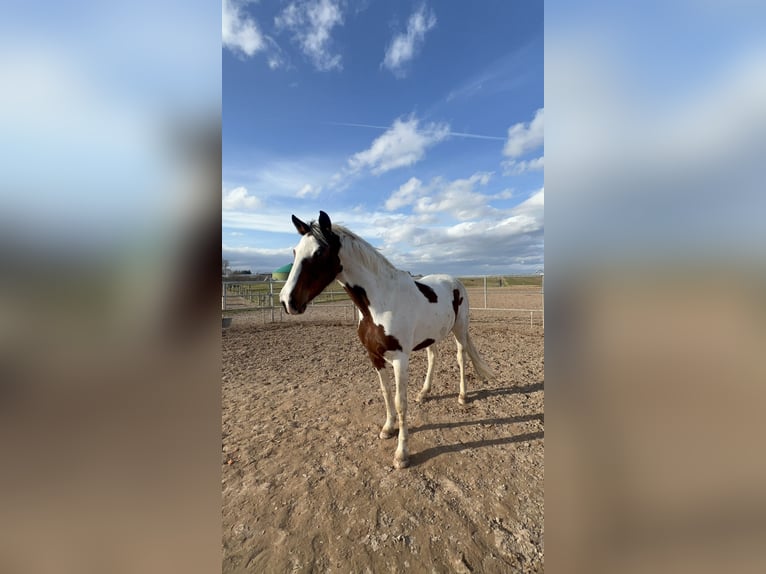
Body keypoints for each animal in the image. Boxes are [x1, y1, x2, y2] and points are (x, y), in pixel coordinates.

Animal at [279, 211, 494, 469]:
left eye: (319, 253)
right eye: (295, 252)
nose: (287, 301)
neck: (380, 303)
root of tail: (454, 281)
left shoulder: (400, 359)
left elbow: (401, 403)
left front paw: (402, 454)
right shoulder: (375, 356)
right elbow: (386, 393)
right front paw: (388, 428)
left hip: (460, 330)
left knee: (461, 358)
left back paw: (462, 397)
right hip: (431, 336)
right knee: (433, 358)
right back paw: (424, 393)